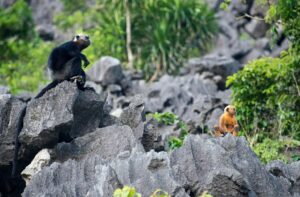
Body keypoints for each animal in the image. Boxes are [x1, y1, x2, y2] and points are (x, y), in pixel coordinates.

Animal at [11, 33, 91, 177]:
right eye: (85, 36)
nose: (89, 38)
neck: (78, 45)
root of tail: (58, 78)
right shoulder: (69, 46)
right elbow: (71, 53)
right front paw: (83, 57)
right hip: (66, 71)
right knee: (75, 61)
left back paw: (82, 86)